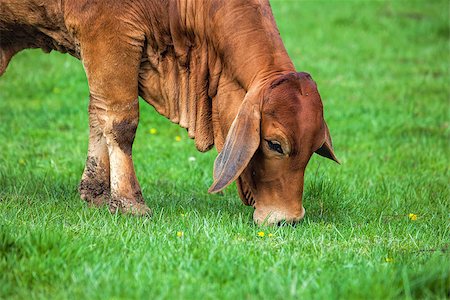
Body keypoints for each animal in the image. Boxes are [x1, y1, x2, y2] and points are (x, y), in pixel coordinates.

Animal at [0, 0, 340, 224]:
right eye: (274, 145)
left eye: (313, 150)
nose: (289, 219)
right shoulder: (107, 33)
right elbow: (120, 122)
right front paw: (130, 203)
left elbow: (97, 116)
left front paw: (96, 194)